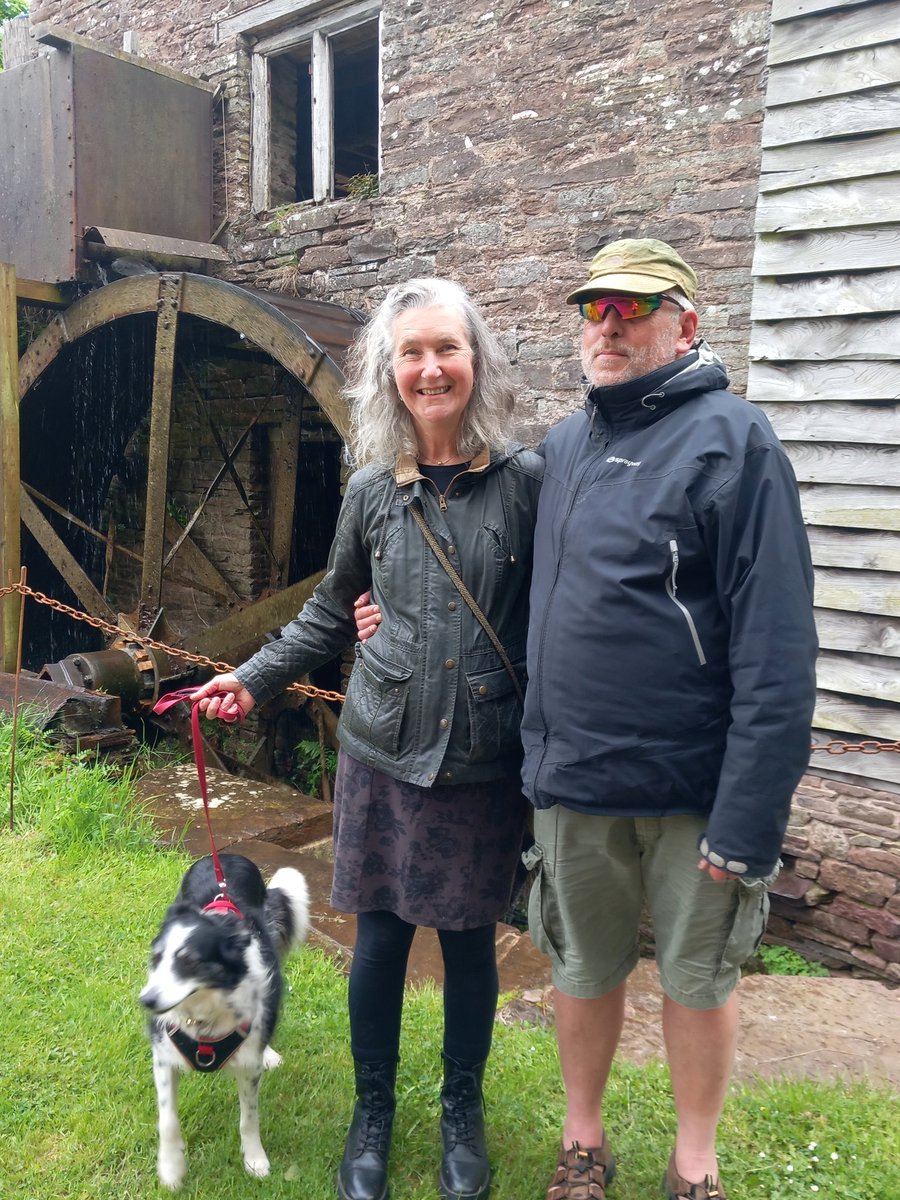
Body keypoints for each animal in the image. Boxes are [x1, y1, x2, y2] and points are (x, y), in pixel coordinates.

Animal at [139, 854, 309, 1190]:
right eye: (156, 959)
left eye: (190, 961)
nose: (147, 1001)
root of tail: (229, 856)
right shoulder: (163, 1056)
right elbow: (168, 1120)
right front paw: (171, 1168)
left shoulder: (248, 1065)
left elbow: (249, 1118)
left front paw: (255, 1160)